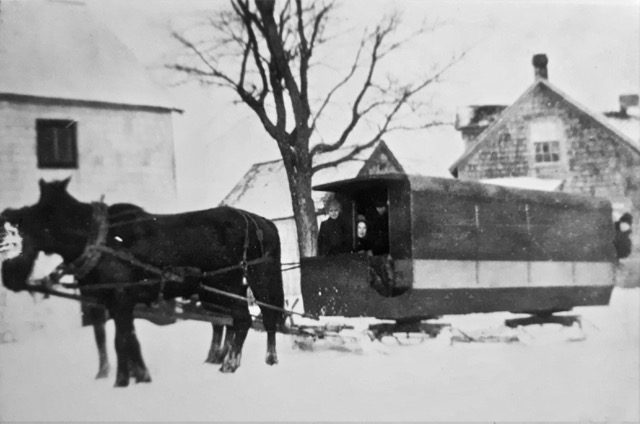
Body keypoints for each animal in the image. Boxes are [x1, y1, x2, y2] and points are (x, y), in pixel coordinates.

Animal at [0, 179, 284, 388]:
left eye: (19, 234)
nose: (9, 277)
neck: (97, 241)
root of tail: (260, 221)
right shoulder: (111, 301)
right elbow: (126, 340)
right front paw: (139, 376)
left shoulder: (120, 298)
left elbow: (120, 341)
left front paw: (122, 381)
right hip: (225, 288)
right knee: (244, 320)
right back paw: (248, 359)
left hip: (236, 282)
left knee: (251, 318)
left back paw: (234, 363)